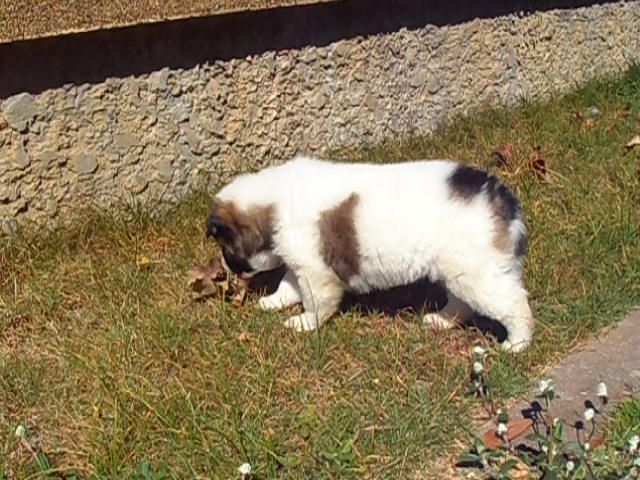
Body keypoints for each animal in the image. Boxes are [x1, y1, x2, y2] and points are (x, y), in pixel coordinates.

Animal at [206, 156, 534, 351]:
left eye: (227, 250)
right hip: (458, 269)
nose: (226, 269)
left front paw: (304, 323)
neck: (276, 205)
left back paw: (517, 344)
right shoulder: (303, 263)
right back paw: (441, 320)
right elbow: (289, 284)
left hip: (478, 275)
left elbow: (316, 302)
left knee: (515, 305)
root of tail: (502, 197)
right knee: (461, 303)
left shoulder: (317, 272)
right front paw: (273, 301)